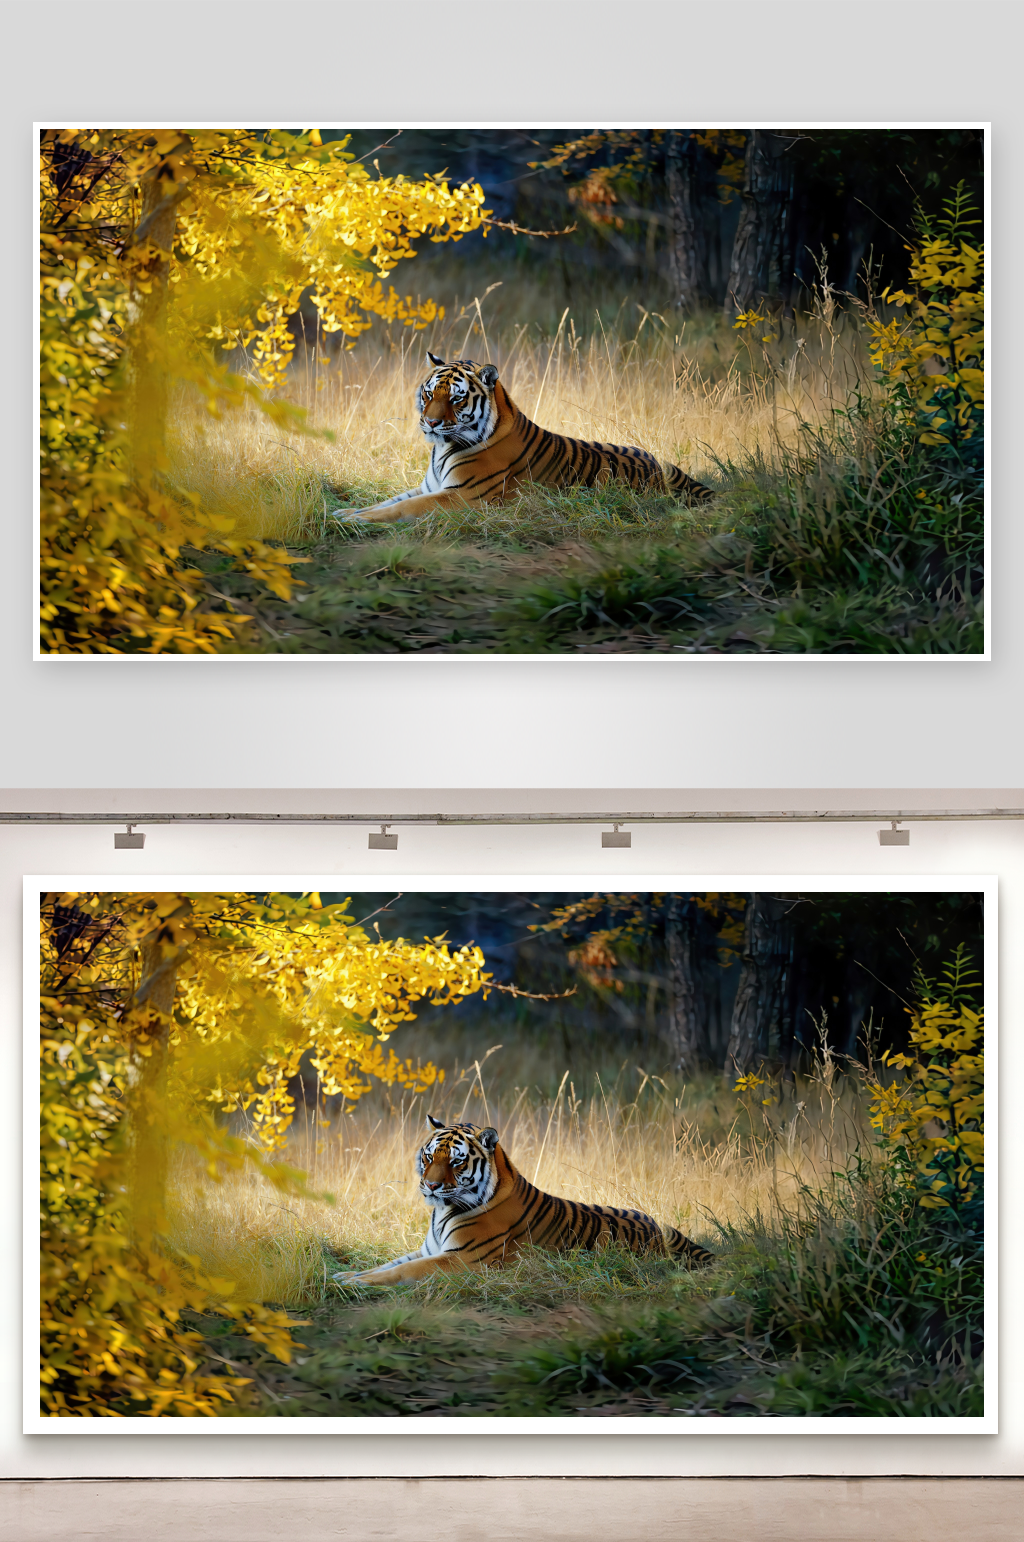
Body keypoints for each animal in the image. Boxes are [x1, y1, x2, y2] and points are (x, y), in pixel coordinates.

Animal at [332, 1114, 715, 1287]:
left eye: (456, 1162)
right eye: (428, 1157)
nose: (429, 1186)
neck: (441, 1213)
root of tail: (660, 1230)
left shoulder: (462, 1260)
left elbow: (401, 1271)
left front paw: (354, 1283)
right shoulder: (430, 1250)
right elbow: (387, 1264)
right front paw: (346, 1274)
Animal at [333, 352, 714, 525]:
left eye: (455, 399)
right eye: (428, 394)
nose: (429, 423)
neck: (441, 449)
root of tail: (660, 468)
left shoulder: (463, 497)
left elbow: (401, 508)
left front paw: (353, 520)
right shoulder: (430, 487)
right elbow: (387, 501)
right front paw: (346, 511)